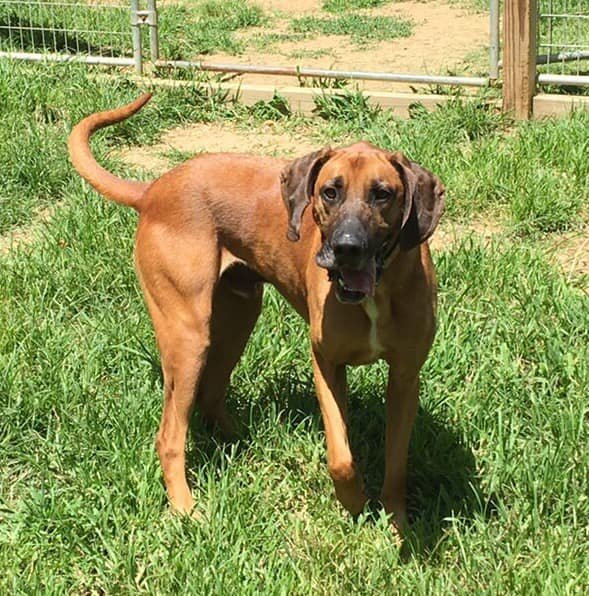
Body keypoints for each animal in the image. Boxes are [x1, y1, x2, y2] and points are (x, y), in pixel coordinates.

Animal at [69, 95, 444, 532]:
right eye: (329, 192)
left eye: (383, 193)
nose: (346, 247)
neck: (377, 292)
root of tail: (153, 190)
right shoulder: (326, 364)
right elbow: (341, 457)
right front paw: (353, 502)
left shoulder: (405, 376)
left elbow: (397, 462)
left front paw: (396, 519)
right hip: (188, 335)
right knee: (170, 435)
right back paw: (185, 507)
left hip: (238, 317)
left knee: (211, 395)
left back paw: (241, 442)